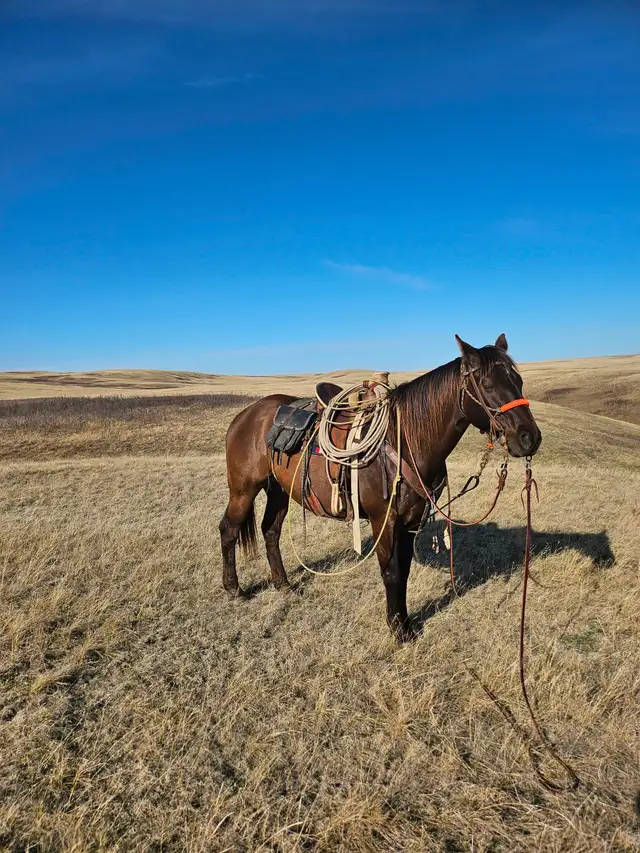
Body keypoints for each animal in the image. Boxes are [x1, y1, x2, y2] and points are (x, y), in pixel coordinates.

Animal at [220, 334, 541, 642]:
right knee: (229, 529)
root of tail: (246, 415)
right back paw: (234, 588)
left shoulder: (410, 521)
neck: (405, 440)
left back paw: (283, 584)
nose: (530, 438)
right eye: (487, 384)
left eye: (519, 382)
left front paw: (405, 622)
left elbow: (405, 570)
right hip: (243, 490)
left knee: (270, 530)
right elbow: (392, 573)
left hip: (278, 491)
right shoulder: (383, 521)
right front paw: (399, 629)